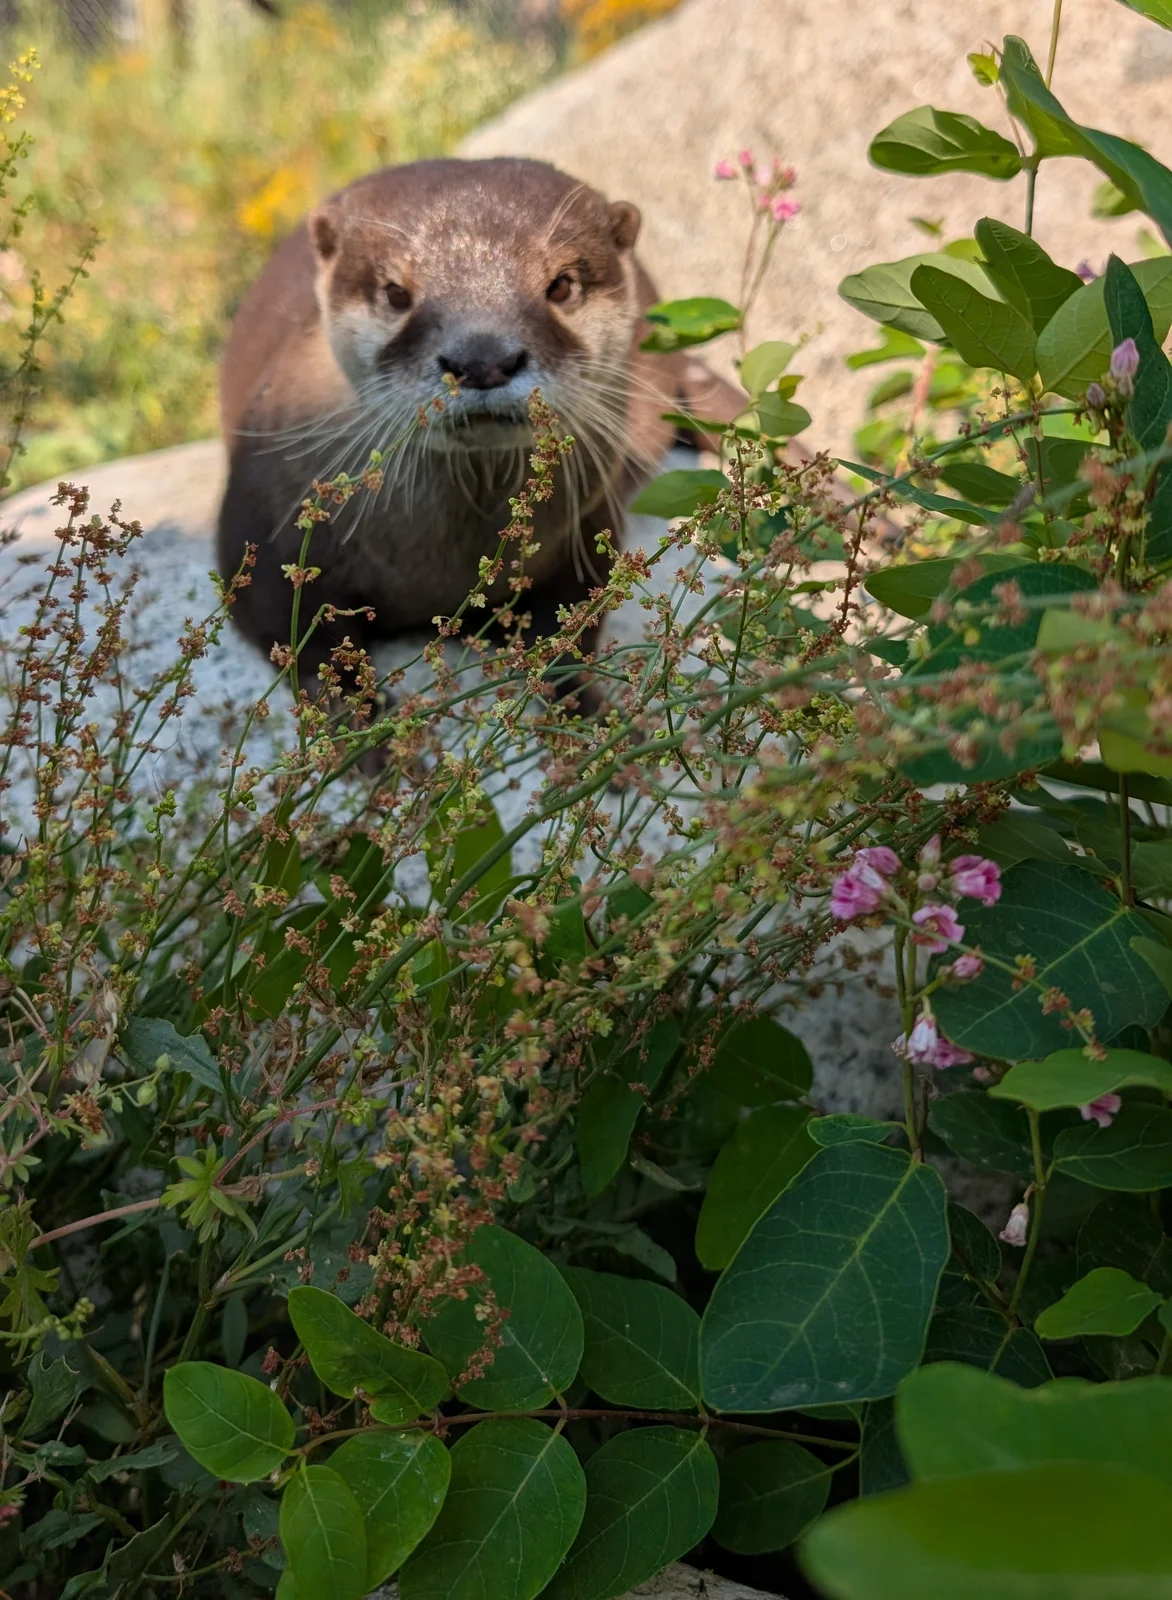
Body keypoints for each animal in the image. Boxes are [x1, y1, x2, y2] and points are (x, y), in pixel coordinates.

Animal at [216, 156, 744, 690]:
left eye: (561, 286)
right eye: (395, 293)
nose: (483, 359)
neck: (438, 570)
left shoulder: (590, 521)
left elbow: (573, 624)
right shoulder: (264, 522)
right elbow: (291, 634)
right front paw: (353, 706)